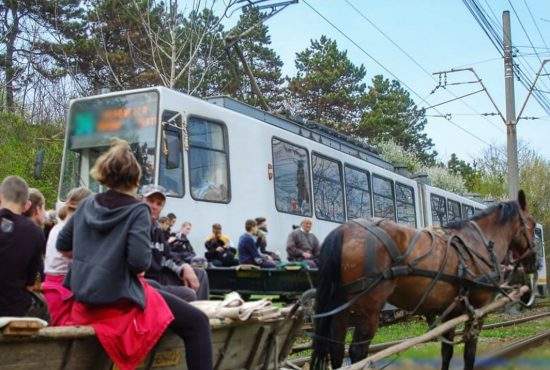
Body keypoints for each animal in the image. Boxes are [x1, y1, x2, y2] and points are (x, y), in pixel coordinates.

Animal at [314, 191, 540, 370]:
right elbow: (469, 354)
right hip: (369, 311)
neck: (479, 243)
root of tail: (344, 230)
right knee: (357, 353)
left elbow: (447, 352)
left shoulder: (451, 312)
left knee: (336, 349)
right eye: (532, 224)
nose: (534, 262)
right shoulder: (478, 311)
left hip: (342, 311)